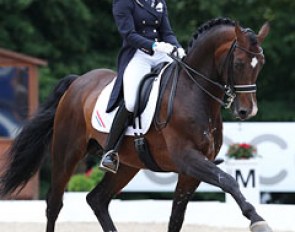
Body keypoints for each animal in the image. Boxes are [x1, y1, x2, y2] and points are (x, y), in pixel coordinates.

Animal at [0, 18, 270, 232]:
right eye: (238, 63)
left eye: (261, 63)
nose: (247, 110)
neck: (194, 92)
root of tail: (77, 82)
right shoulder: (187, 158)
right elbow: (229, 181)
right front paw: (257, 220)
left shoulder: (191, 170)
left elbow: (176, 217)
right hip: (66, 153)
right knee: (54, 203)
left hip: (127, 164)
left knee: (97, 199)